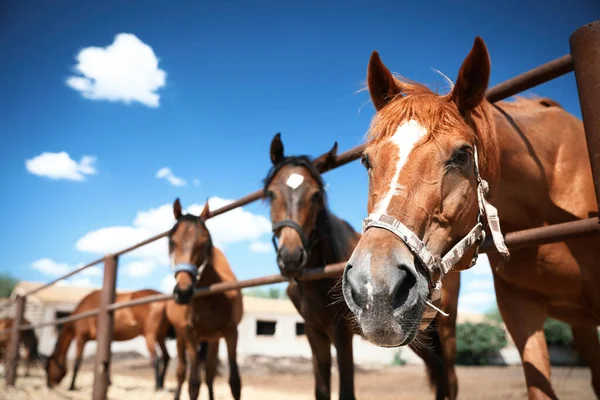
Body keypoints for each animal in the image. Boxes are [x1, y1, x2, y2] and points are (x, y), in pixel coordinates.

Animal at [45, 290, 173, 392]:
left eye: (48, 367)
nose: (49, 385)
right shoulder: (103, 339)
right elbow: (106, 359)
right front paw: (108, 383)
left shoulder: (81, 337)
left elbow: (77, 362)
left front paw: (71, 386)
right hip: (160, 337)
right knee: (166, 357)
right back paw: (161, 384)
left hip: (150, 335)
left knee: (156, 359)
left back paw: (157, 386)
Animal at [165, 198, 243, 400]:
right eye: (172, 241)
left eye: (206, 242)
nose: (183, 292)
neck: (211, 298)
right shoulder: (191, 334)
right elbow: (193, 383)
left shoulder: (231, 332)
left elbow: (234, 383)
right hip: (181, 338)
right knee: (181, 372)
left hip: (212, 339)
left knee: (208, 373)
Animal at [264, 133, 462, 398]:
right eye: (272, 194)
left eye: (316, 195)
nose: (291, 257)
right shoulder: (314, 332)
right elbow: (321, 390)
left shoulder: (341, 332)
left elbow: (347, 391)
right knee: (439, 371)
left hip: (445, 328)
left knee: (450, 378)